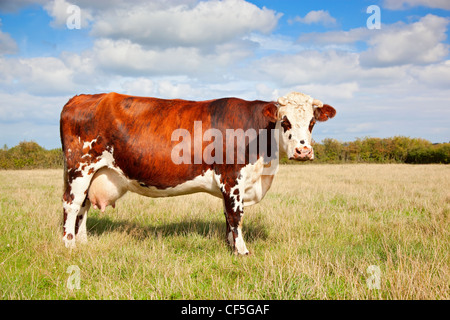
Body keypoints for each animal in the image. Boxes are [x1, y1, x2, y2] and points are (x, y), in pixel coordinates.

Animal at [59, 92, 334, 255]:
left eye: (312, 122)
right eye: (285, 121)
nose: (303, 150)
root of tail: (81, 97)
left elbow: (227, 216)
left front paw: (230, 247)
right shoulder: (232, 178)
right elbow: (235, 216)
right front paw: (242, 252)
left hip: (92, 173)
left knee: (83, 205)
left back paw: (83, 243)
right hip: (79, 168)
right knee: (71, 205)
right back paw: (69, 244)